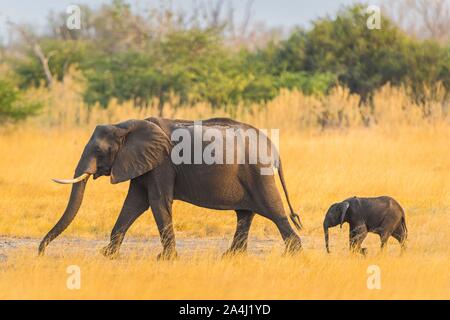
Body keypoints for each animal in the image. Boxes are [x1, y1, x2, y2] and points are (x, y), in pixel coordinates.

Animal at [38, 117, 302, 260]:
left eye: (100, 151)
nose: (40, 253)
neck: (125, 126)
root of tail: (273, 148)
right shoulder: (143, 163)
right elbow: (133, 204)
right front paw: (107, 255)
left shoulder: (162, 164)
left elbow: (157, 202)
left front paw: (164, 259)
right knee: (245, 214)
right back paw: (231, 257)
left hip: (258, 173)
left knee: (275, 211)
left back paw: (293, 253)